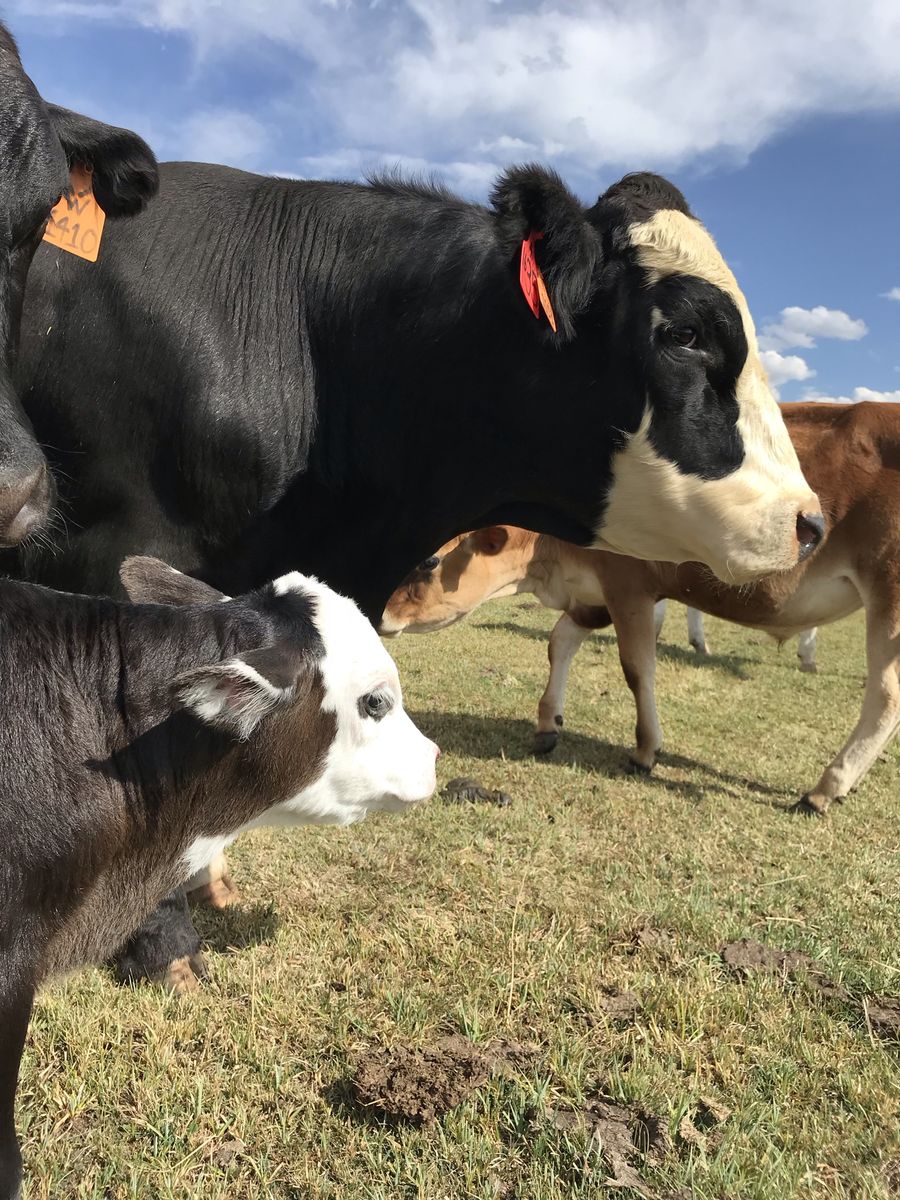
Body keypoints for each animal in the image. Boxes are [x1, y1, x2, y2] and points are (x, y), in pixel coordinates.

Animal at [382, 402, 900, 816]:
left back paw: (825, 788)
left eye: (429, 560)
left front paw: (645, 750)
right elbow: (559, 641)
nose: (380, 615)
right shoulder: (592, 594)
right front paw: (548, 723)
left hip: (887, 599)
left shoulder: (628, 586)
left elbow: (637, 667)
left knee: (885, 697)